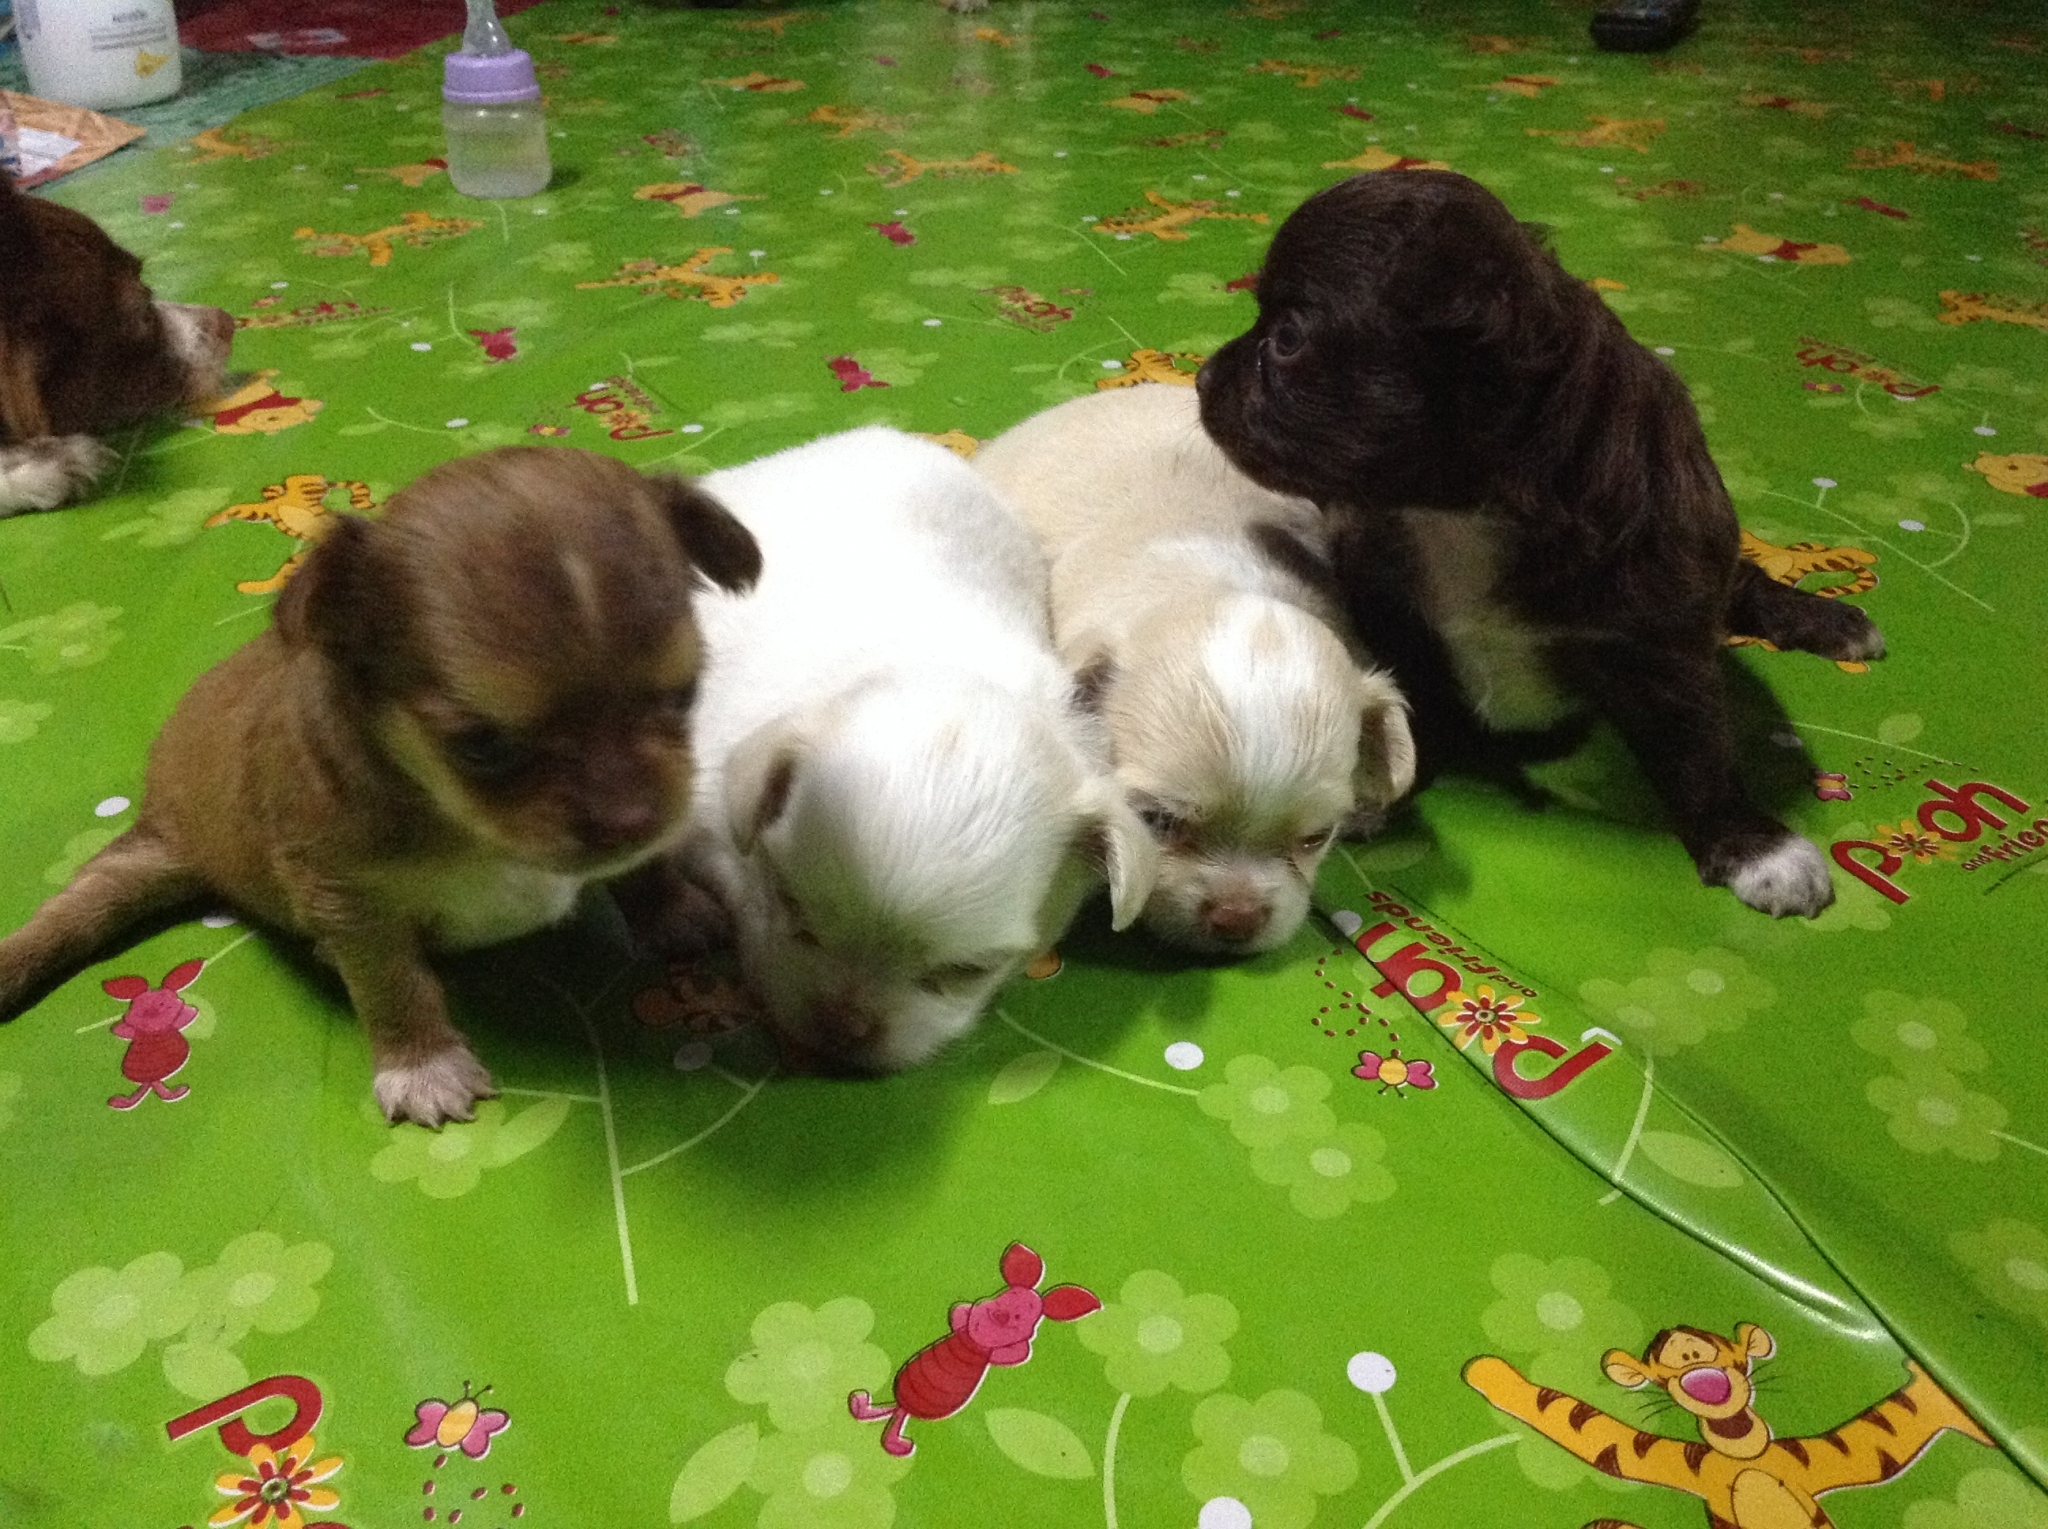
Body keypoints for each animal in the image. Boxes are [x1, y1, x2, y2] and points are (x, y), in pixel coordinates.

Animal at [0, 447, 761, 1124]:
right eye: (482, 744)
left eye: (685, 695)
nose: (632, 818)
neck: (453, 817)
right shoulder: (349, 899)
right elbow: (393, 983)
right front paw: (422, 1068)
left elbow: (645, 867)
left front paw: (674, 910)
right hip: (138, 866)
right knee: (68, 914)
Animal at [1197, 170, 1883, 918]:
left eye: (1288, 339)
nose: (1201, 376)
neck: (1461, 510)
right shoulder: (1392, 610)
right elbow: (1408, 702)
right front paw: (1377, 783)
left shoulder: (1659, 642)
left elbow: (1696, 749)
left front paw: (1757, 846)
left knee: (1746, 585)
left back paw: (1829, 619)